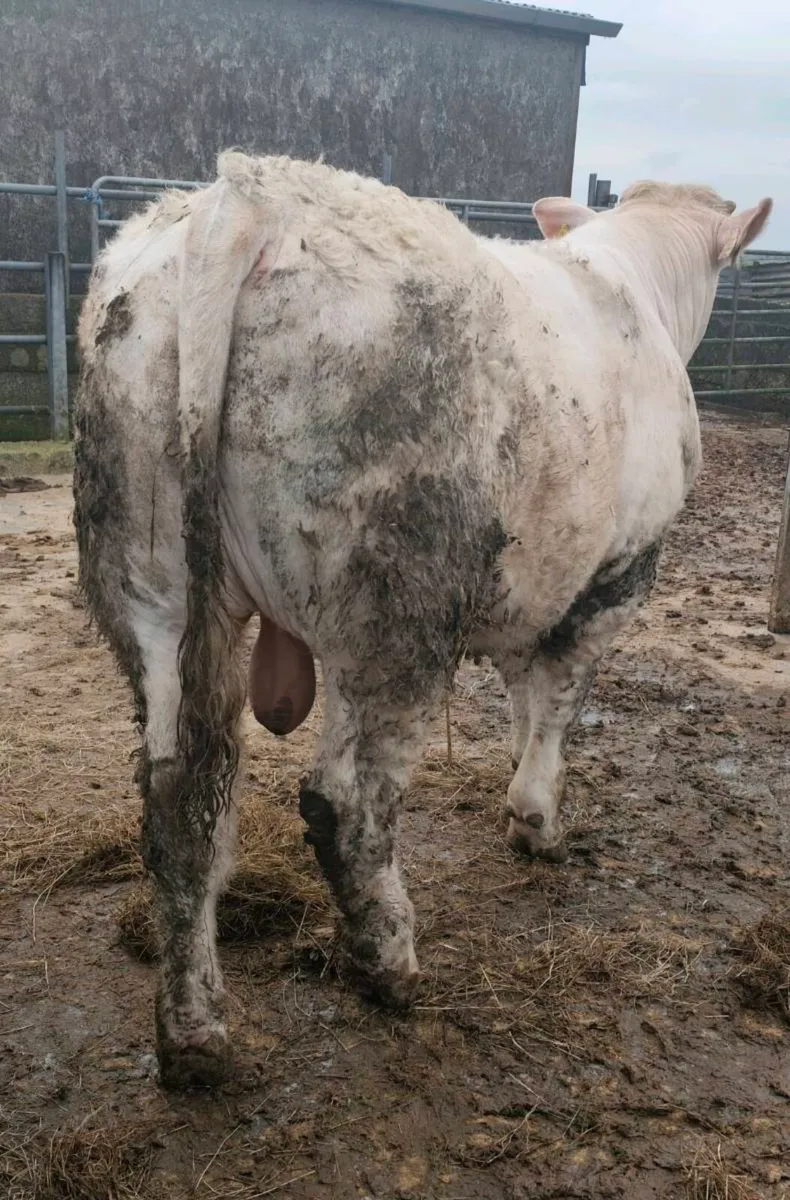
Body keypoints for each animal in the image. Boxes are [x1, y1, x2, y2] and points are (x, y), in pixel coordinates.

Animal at [73, 152, 771, 1089]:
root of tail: (244, 197)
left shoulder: (536, 579)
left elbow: (524, 692)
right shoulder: (617, 572)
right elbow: (559, 700)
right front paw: (537, 820)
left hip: (149, 586)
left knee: (177, 801)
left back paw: (194, 1035)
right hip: (391, 607)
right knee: (344, 803)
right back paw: (391, 965)